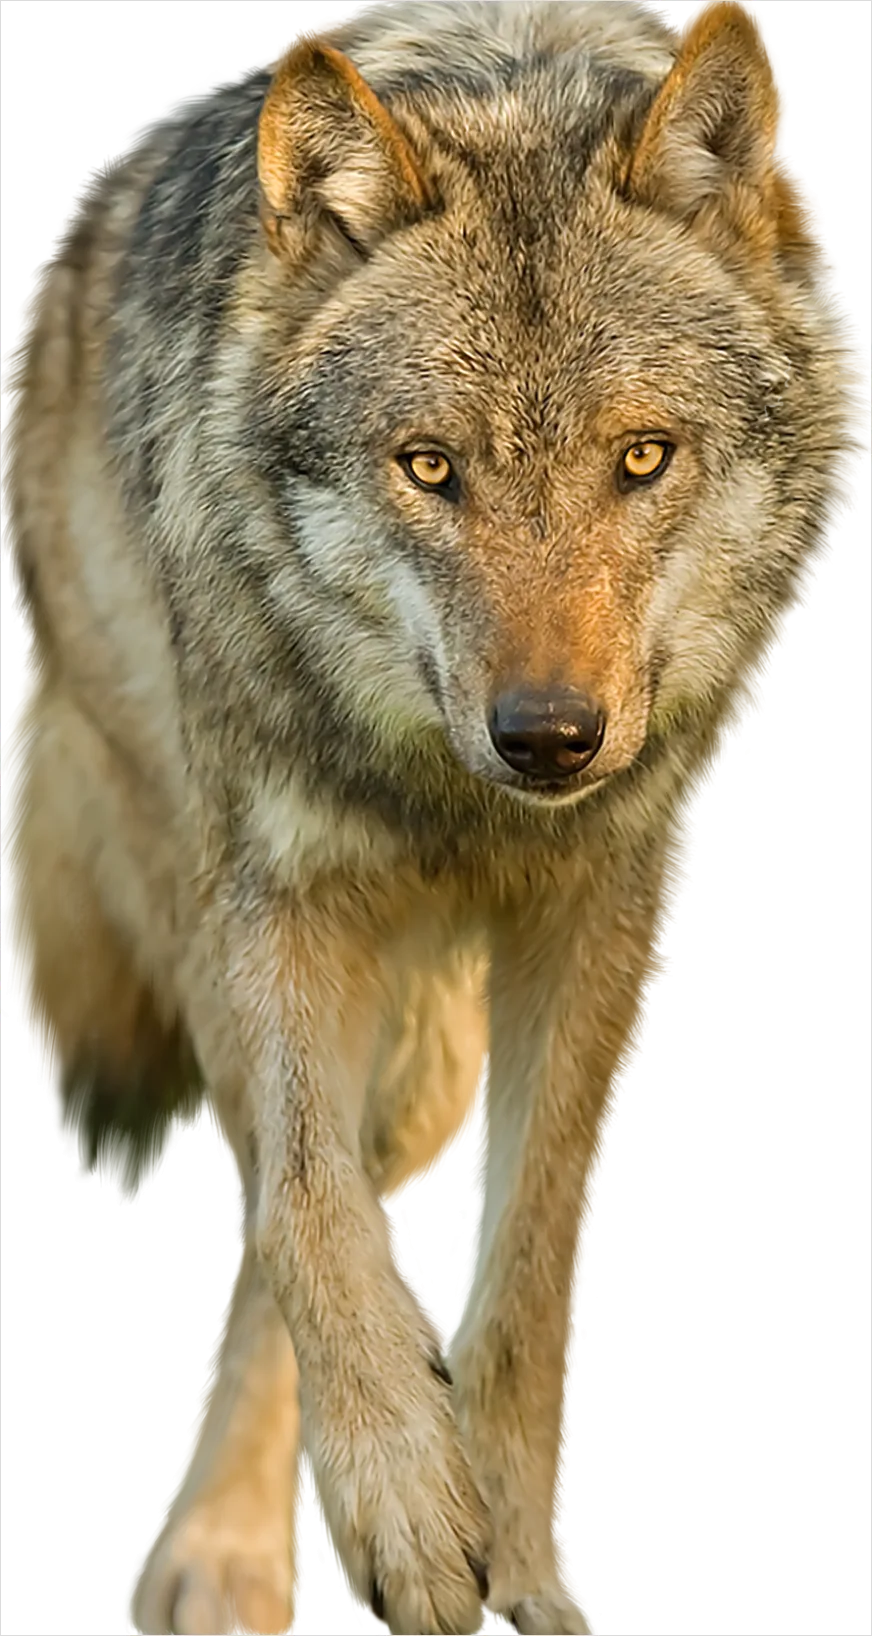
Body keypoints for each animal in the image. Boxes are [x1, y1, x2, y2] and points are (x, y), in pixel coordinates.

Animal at [3, 2, 867, 1631]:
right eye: (428, 467)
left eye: (641, 457)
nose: (548, 736)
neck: (457, 802)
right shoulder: (269, 897)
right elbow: (307, 1211)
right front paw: (404, 1504)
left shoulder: (606, 918)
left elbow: (524, 1282)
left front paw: (518, 1571)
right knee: (276, 1199)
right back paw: (226, 1549)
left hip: (432, 1059)